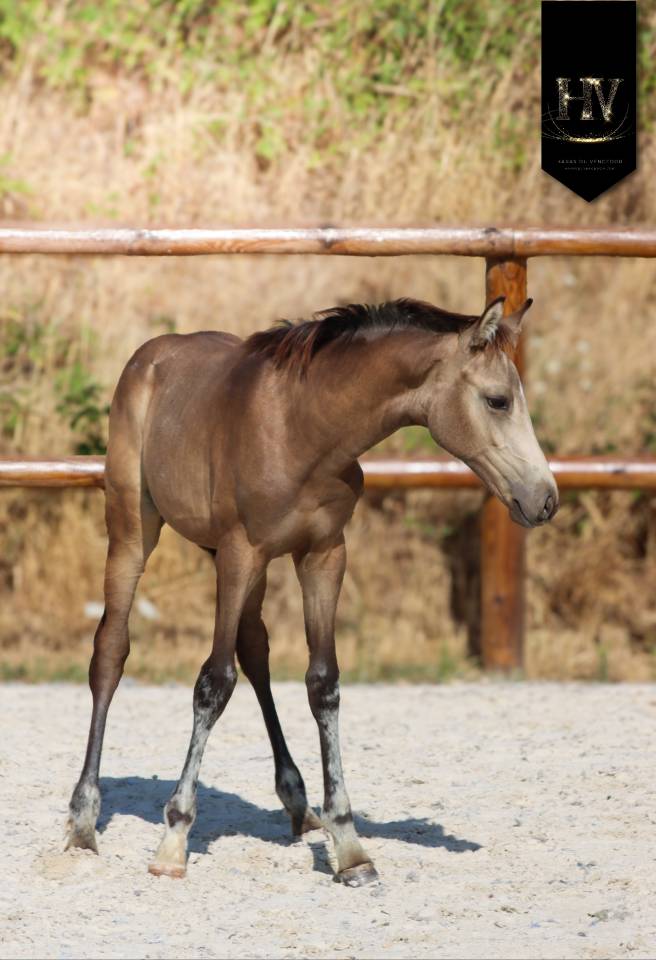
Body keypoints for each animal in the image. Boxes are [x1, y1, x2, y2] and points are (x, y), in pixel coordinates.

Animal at [65, 294, 558, 886]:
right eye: (498, 400)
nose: (545, 499)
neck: (304, 428)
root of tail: (150, 354)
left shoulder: (323, 555)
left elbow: (323, 683)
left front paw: (348, 844)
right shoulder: (241, 551)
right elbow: (212, 683)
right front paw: (174, 839)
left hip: (234, 561)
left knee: (254, 649)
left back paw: (298, 802)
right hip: (134, 530)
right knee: (111, 652)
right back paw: (83, 820)